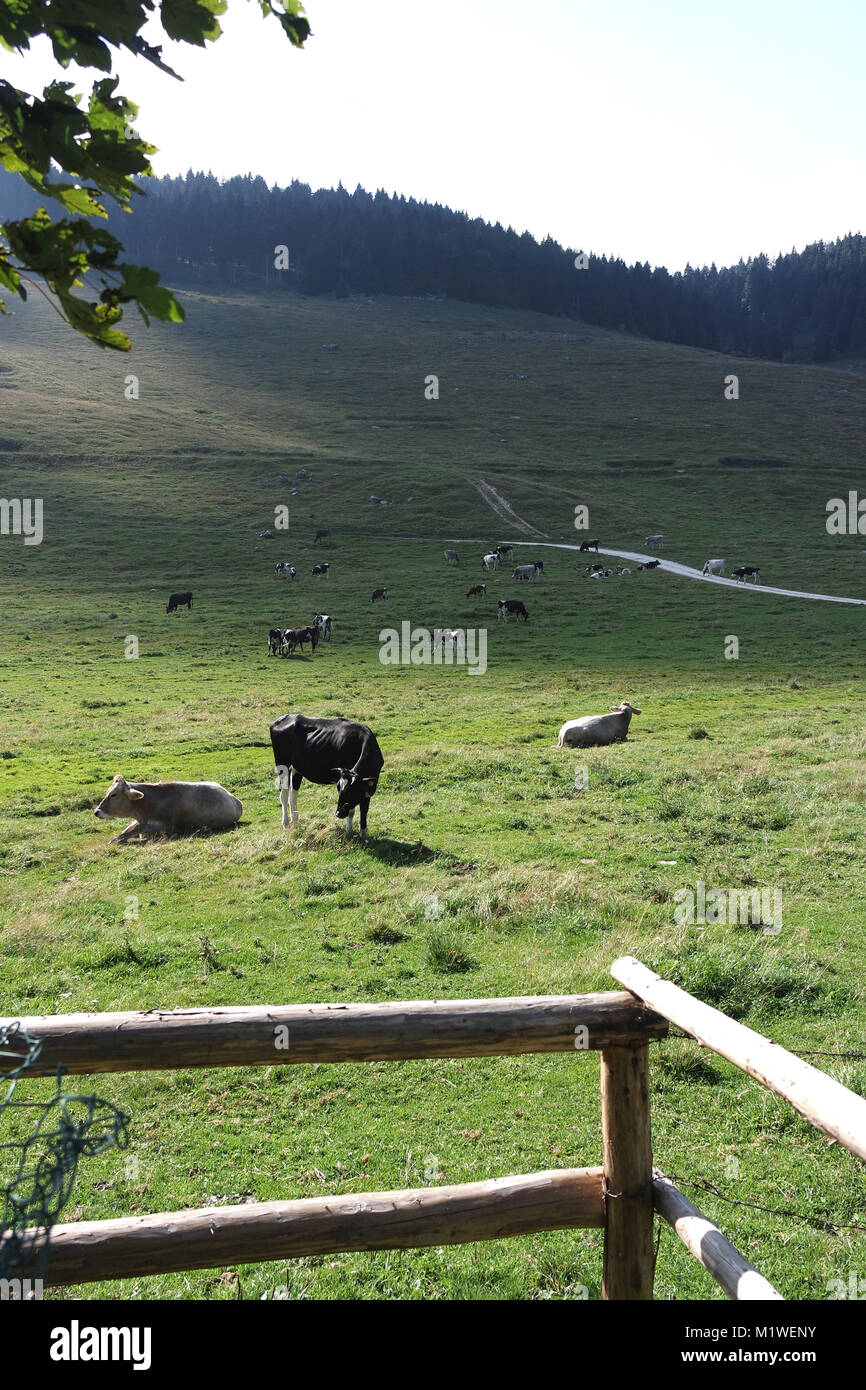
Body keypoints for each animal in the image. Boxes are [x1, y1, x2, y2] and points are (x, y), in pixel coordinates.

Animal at [93, 772, 244, 845]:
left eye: (113, 795)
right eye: (107, 792)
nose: (96, 811)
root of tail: (237, 801)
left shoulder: (164, 828)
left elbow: (130, 833)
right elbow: (128, 830)